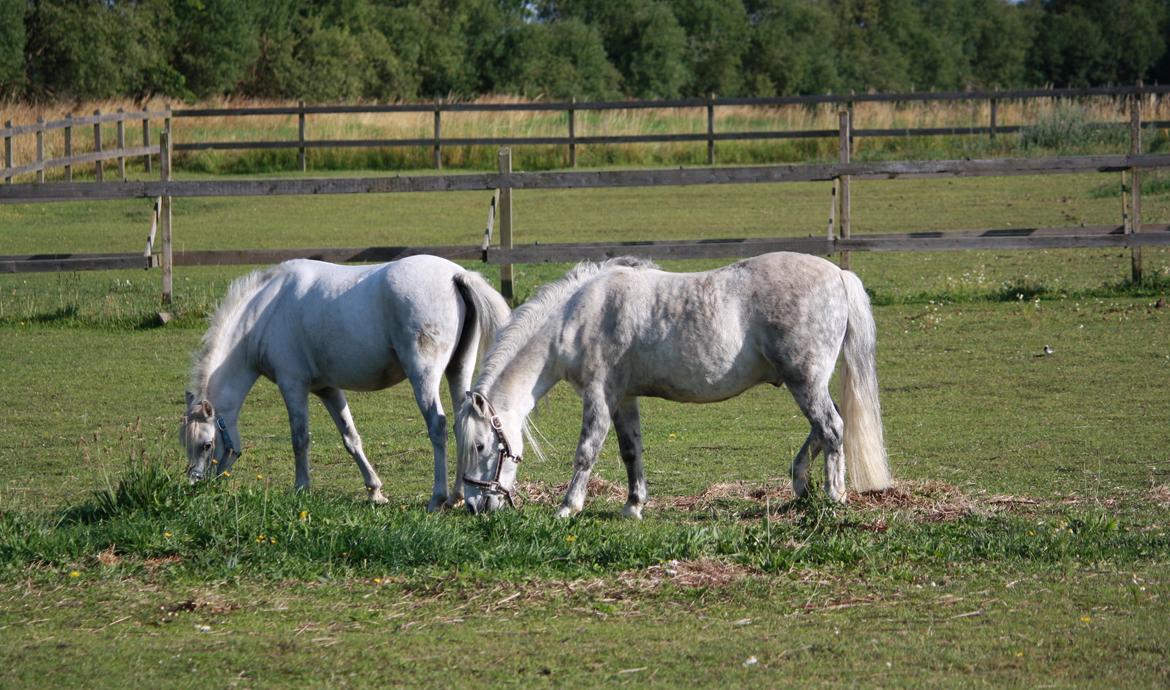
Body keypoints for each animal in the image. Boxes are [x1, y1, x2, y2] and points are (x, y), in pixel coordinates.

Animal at [180, 257, 510, 512]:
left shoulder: (293, 385)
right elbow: (351, 438)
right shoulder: (327, 389)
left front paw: (301, 488)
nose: (195, 485)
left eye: (206, 443)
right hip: (458, 370)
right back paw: (456, 496)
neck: (265, 311)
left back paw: (437, 498)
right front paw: (375, 491)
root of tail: (456, 275)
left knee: (437, 427)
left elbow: (300, 438)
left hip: (424, 377)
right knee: (460, 425)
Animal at [451, 253, 889, 519]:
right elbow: (631, 452)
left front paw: (568, 507)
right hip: (808, 383)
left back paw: (834, 495)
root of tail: (839, 275)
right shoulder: (623, 398)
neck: (578, 316)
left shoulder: (599, 395)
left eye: (481, 446)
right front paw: (633, 505)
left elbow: (586, 452)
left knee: (832, 428)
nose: (474, 504)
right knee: (827, 426)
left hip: (805, 382)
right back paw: (800, 482)